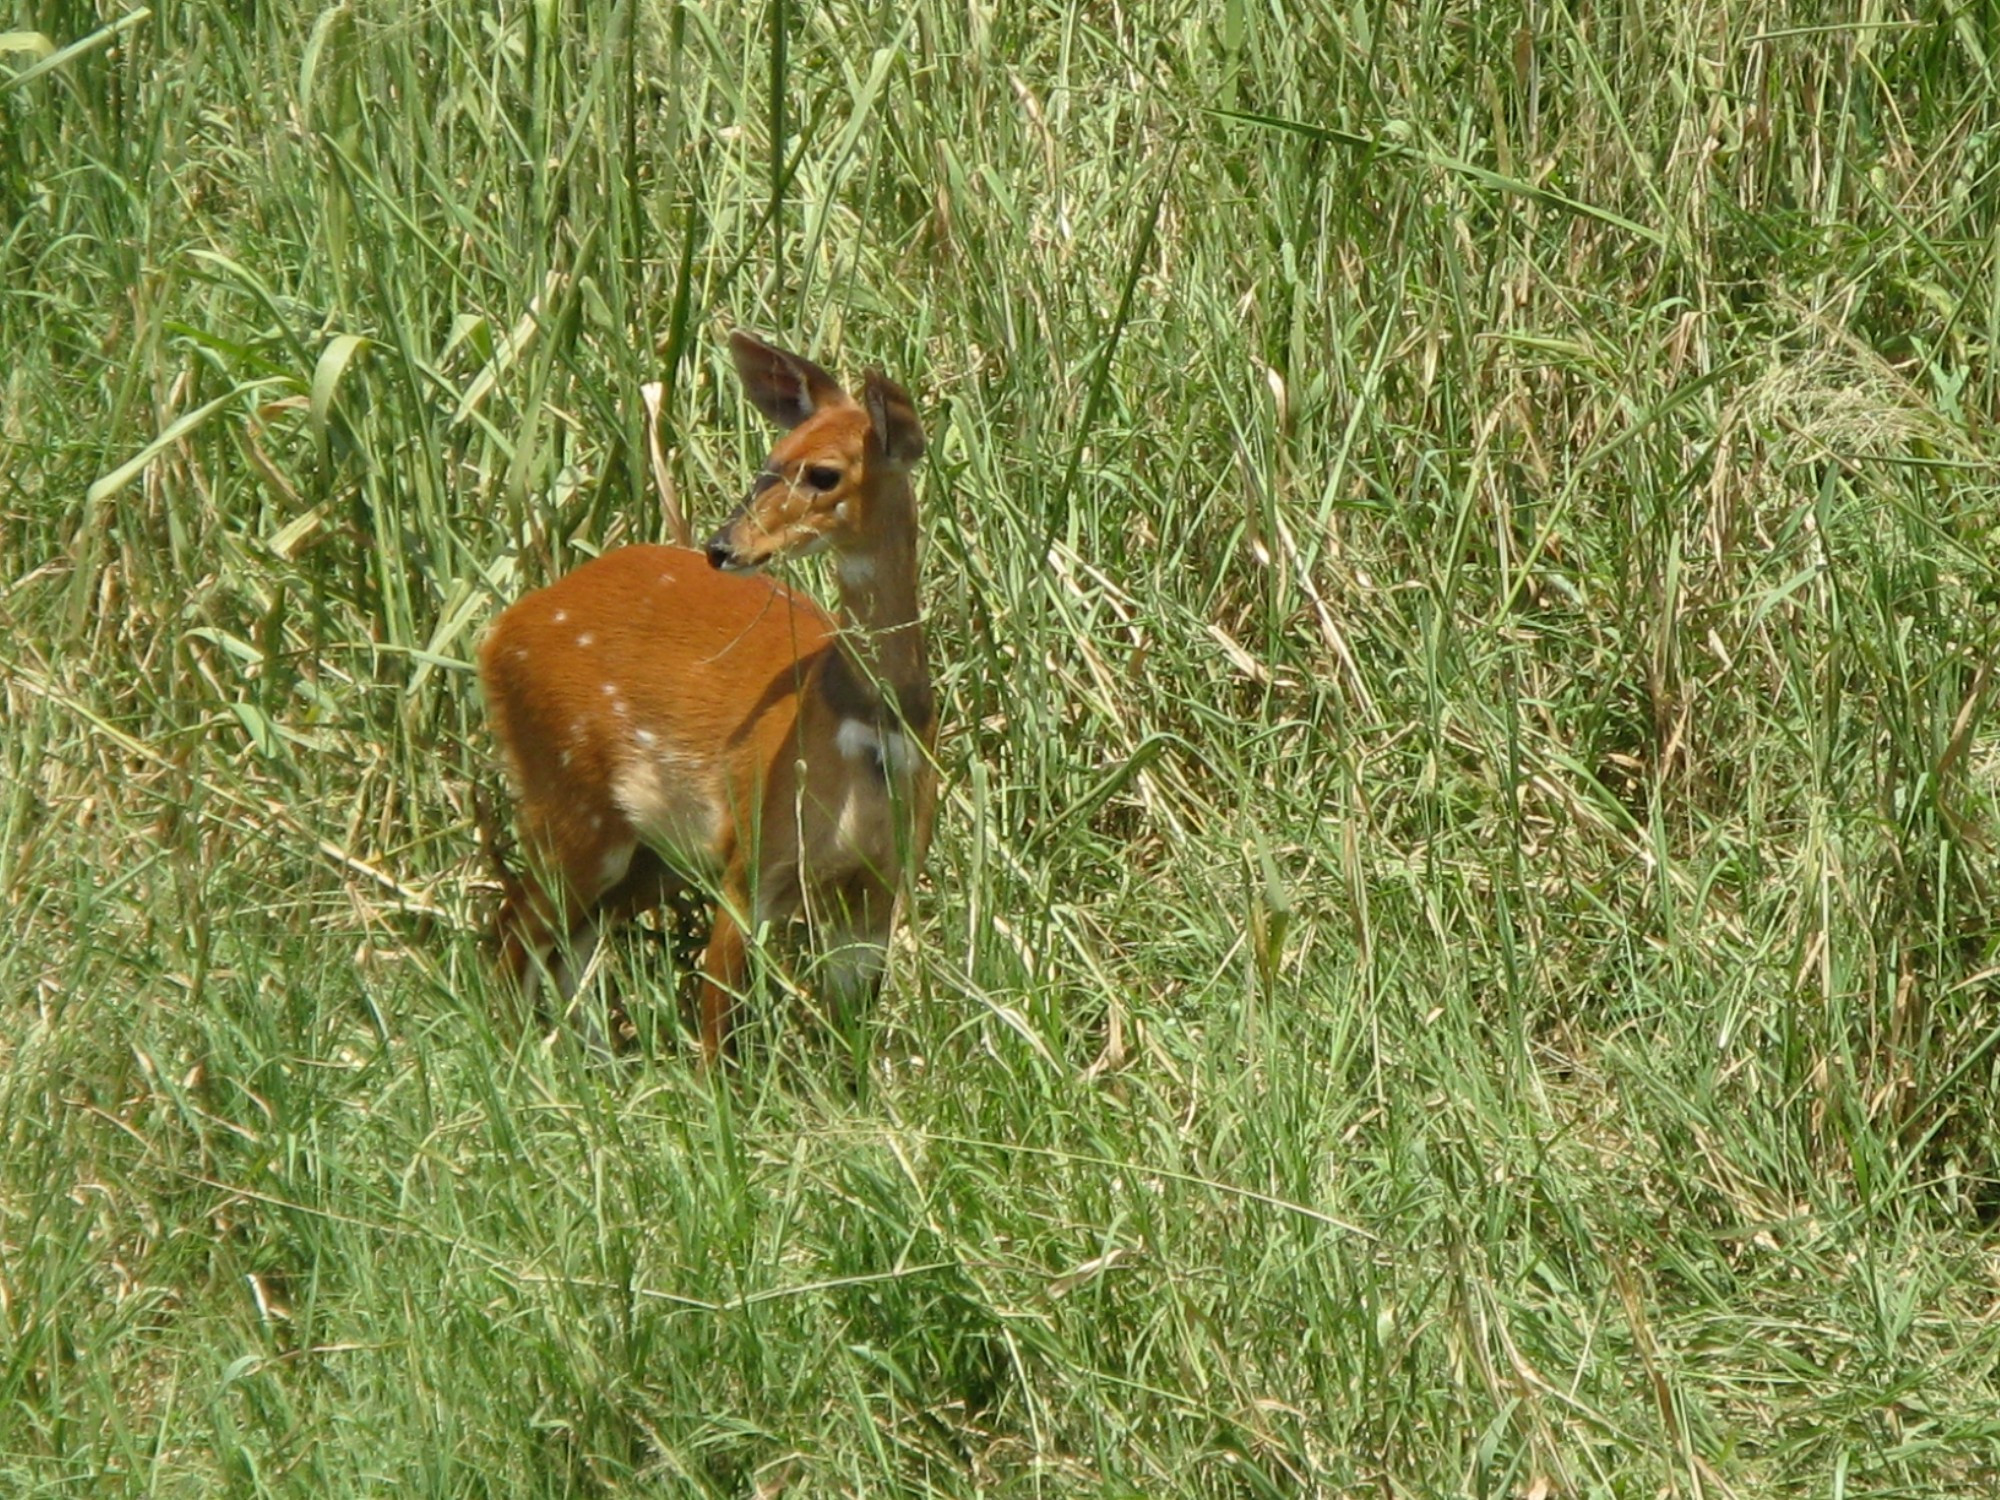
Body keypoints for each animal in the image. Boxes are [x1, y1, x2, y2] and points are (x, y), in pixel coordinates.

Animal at [478, 332, 936, 1056]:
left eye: (824, 474)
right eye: (770, 461)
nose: (722, 546)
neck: (866, 730)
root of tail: (495, 638)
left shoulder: (879, 885)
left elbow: (852, 1042)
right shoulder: (753, 857)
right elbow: (716, 1028)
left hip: (643, 854)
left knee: (559, 945)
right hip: (571, 800)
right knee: (514, 935)